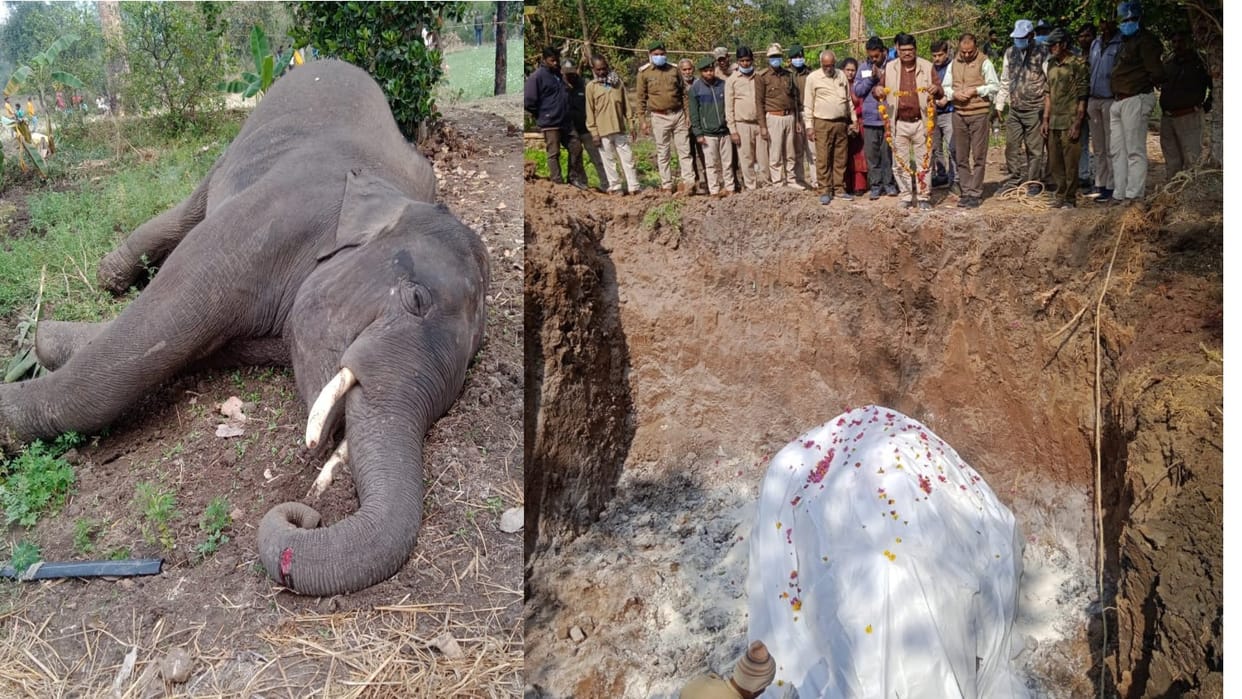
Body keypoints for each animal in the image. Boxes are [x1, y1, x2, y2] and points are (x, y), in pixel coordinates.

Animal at [0, 60, 490, 596]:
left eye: (470, 361)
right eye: (416, 300)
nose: (307, 515)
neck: (387, 197)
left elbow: (197, 347)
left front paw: (45, 342)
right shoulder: (267, 220)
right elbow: (151, 333)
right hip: (236, 142)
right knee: (185, 213)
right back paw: (109, 277)